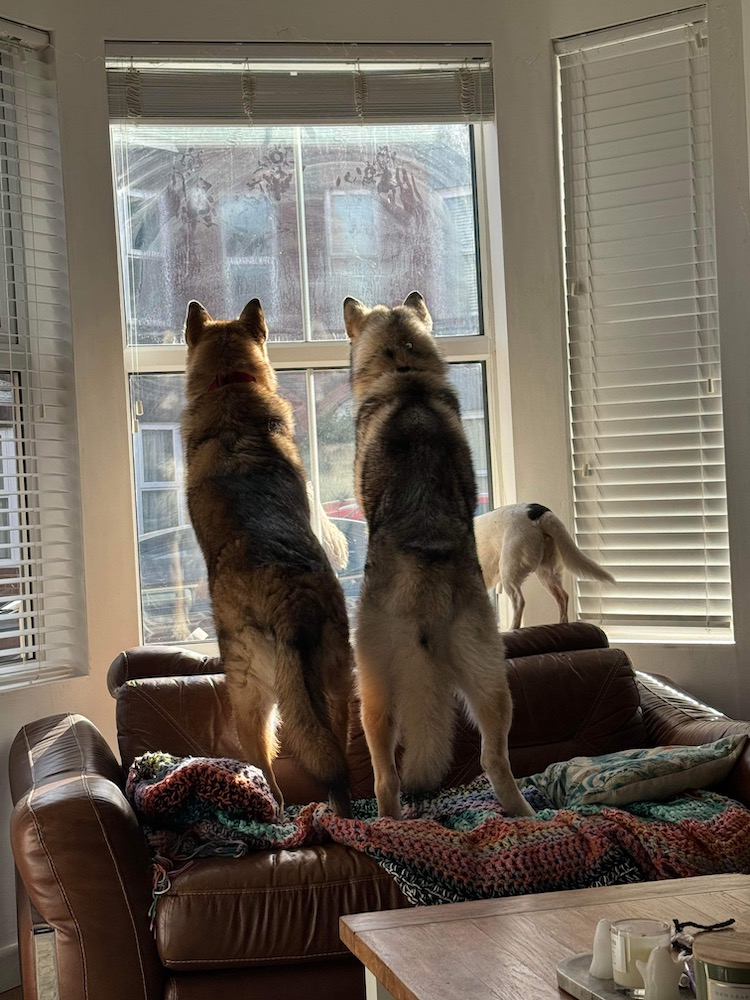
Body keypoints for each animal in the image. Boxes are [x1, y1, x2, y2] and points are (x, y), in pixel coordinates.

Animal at [184, 300, 356, 816]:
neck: (231, 385)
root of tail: (291, 602)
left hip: (247, 696)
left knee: (266, 766)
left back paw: (274, 814)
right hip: (336, 689)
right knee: (336, 763)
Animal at [476, 504, 616, 628]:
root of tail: (538, 511)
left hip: (509, 569)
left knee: (519, 601)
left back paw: (512, 628)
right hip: (547, 573)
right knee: (563, 596)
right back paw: (562, 623)